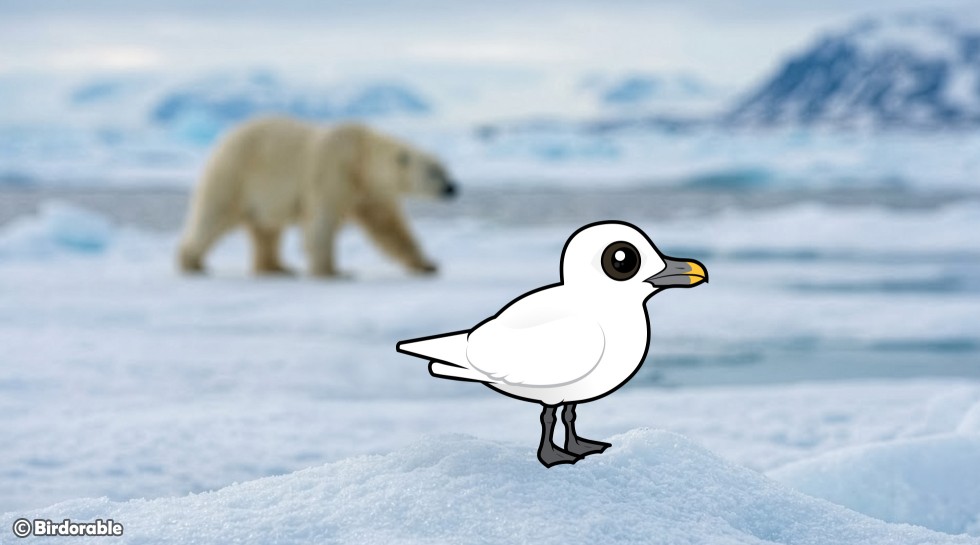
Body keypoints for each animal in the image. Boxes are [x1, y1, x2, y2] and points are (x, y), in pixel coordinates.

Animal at [177, 116, 456, 277]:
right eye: (434, 172)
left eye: (446, 169)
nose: (453, 187)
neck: (361, 158)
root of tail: (222, 140)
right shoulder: (333, 173)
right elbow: (322, 222)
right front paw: (333, 271)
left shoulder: (369, 193)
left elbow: (389, 228)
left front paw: (428, 264)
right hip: (236, 175)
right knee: (213, 216)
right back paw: (191, 263)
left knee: (267, 229)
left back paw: (277, 268)